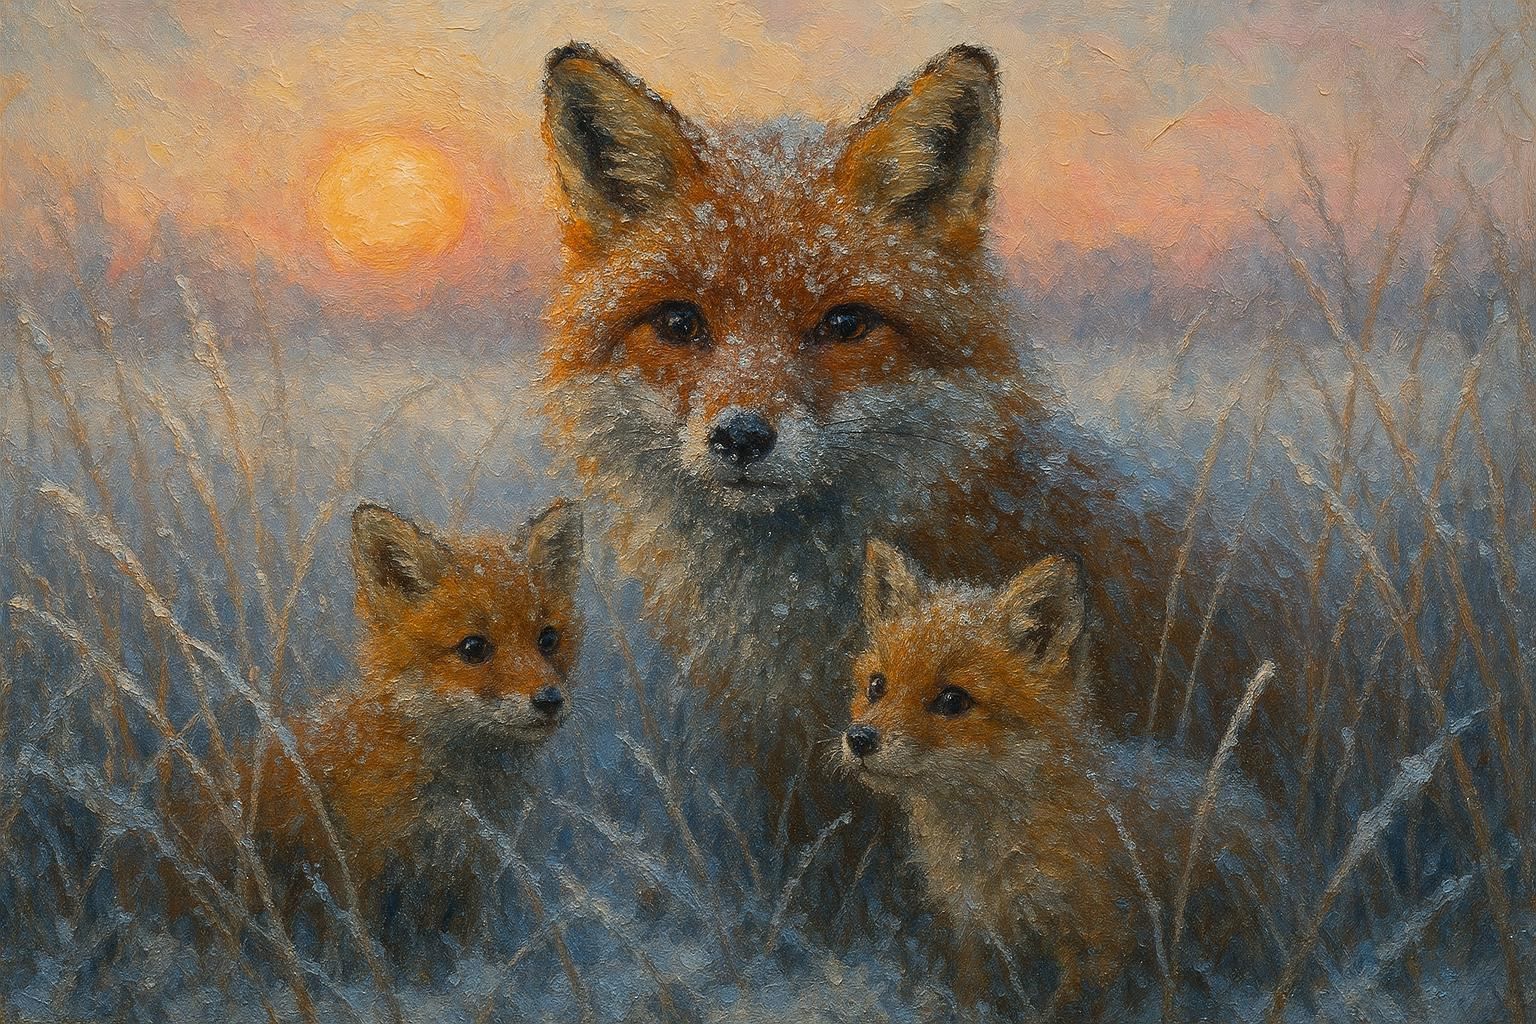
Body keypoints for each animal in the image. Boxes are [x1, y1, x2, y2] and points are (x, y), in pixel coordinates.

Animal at [842, 539, 1279, 1013]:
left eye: (952, 700)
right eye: (877, 686)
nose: (859, 739)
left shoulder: (1101, 942)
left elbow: (1072, 1004)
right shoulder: (976, 932)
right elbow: (972, 995)